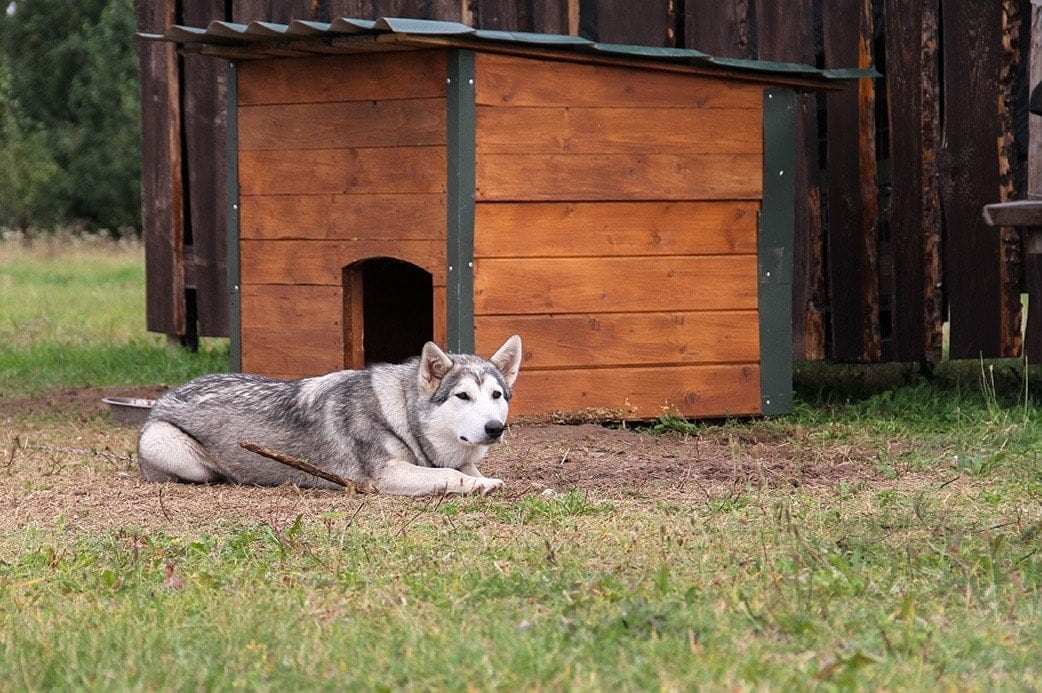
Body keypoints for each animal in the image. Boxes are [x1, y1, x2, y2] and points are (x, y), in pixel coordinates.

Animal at [138, 337, 525, 493]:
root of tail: (164, 397)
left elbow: (464, 469)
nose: (495, 428)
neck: (400, 414)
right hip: (176, 452)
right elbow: (450, 474)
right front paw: (483, 486)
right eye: (463, 396)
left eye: (496, 395)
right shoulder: (387, 475)